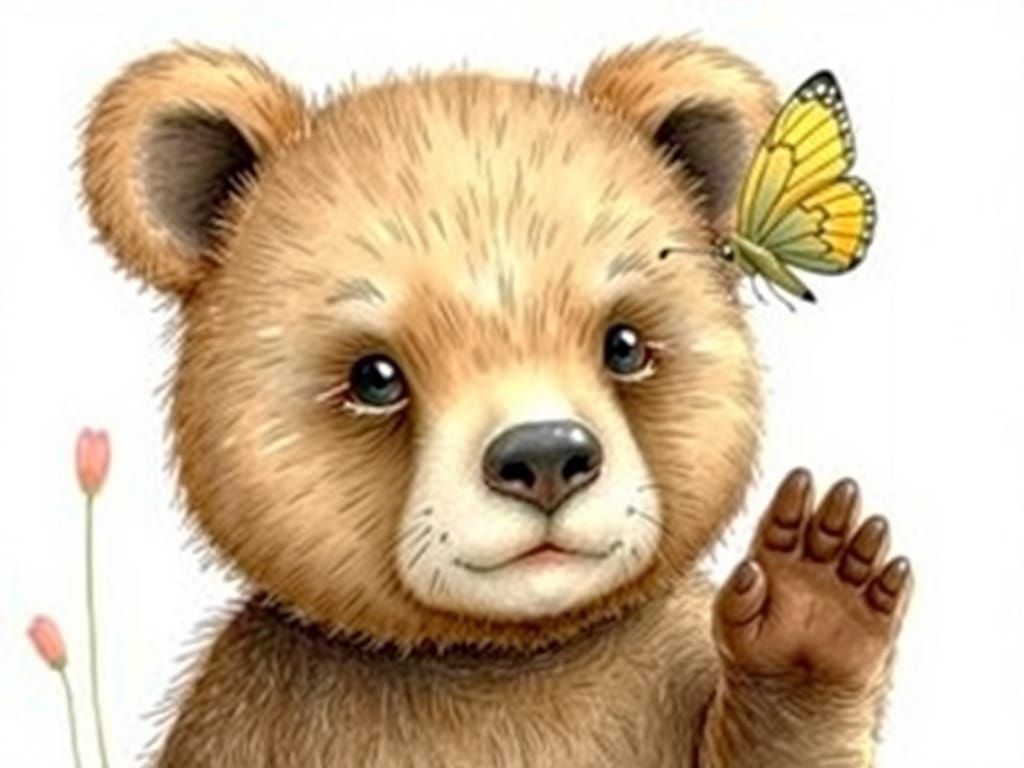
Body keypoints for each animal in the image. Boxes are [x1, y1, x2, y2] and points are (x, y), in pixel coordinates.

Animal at [80, 38, 912, 767]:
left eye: (624, 344)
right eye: (375, 376)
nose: (545, 458)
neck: (500, 656)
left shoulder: (662, 671)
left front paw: (812, 602)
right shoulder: (261, 709)